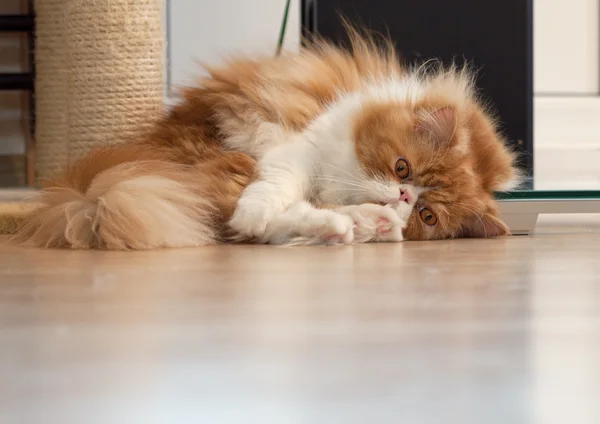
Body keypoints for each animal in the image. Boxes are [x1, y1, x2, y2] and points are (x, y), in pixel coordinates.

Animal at [14, 31, 520, 250]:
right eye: (403, 167)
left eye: (427, 215)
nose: (402, 197)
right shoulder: (299, 151)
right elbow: (271, 195)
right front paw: (261, 212)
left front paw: (374, 221)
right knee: (247, 220)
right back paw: (350, 224)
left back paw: (356, 226)